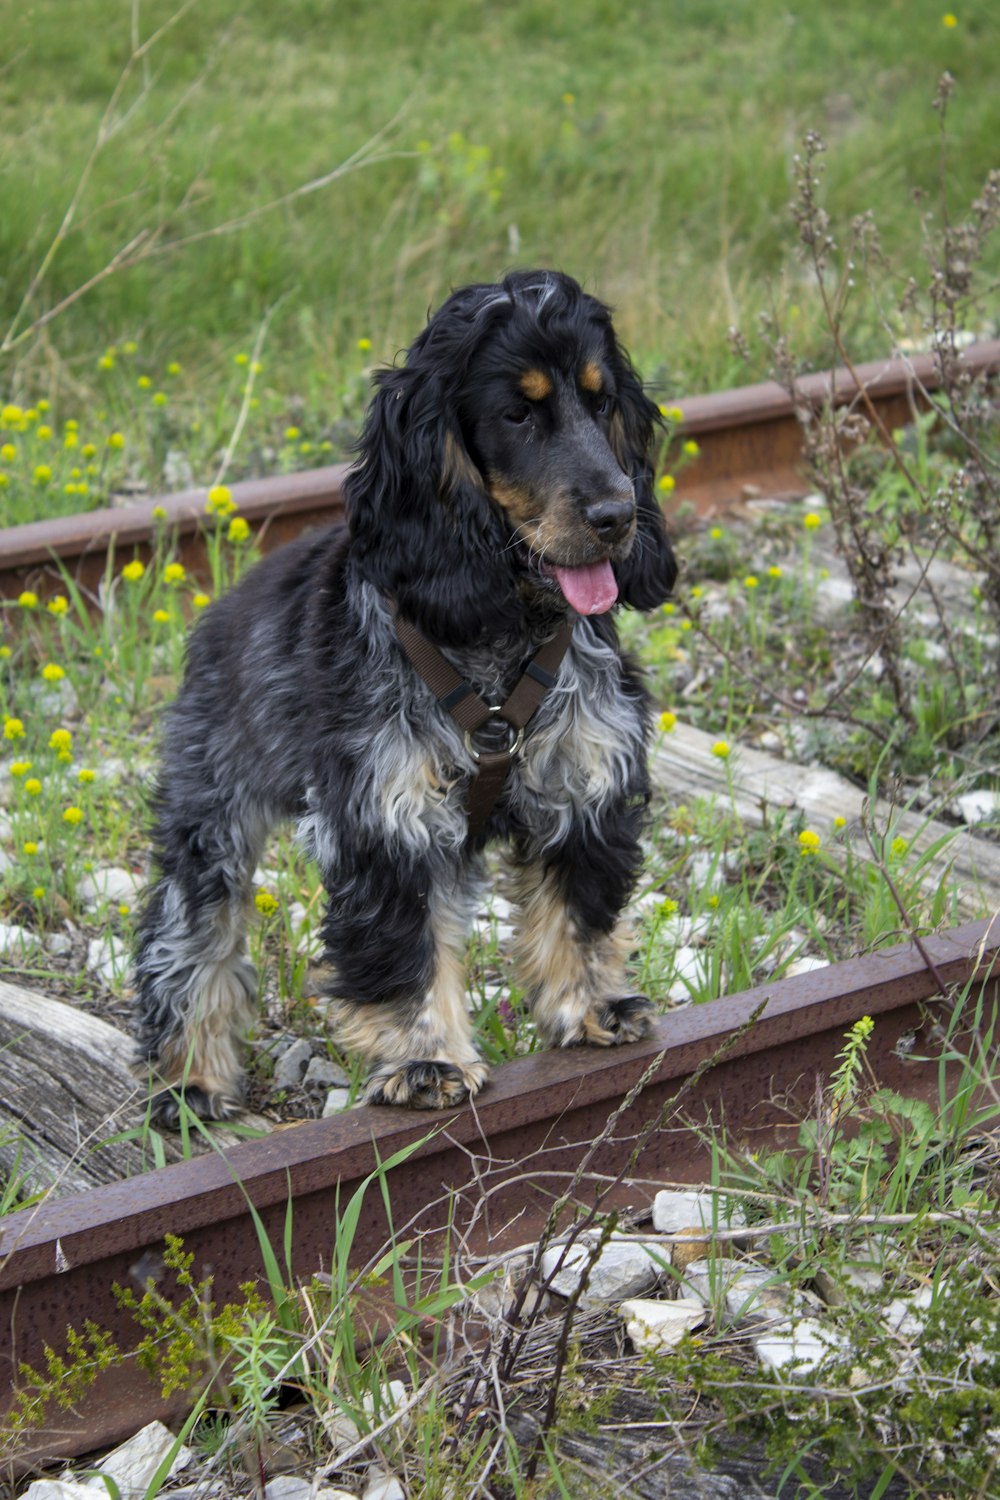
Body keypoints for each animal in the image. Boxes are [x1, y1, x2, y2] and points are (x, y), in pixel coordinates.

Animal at [134, 270, 680, 1122]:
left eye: (601, 402)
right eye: (517, 413)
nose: (618, 515)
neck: (498, 632)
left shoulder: (586, 783)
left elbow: (579, 909)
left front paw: (593, 1005)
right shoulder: (386, 818)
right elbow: (404, 948)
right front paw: (427, 1059)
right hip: (211, 808)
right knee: (189, 933)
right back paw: (190, 1076)